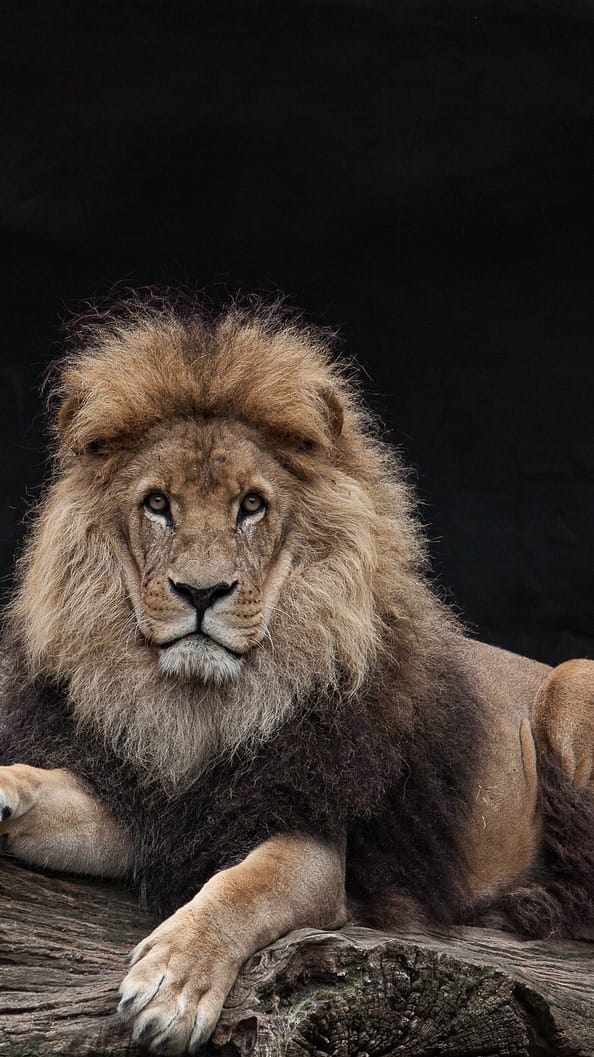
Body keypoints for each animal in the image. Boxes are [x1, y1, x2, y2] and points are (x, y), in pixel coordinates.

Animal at [1, 299, 594, 1054]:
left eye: (251, 506)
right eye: (158, 504)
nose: (202, 592)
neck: (200, 709)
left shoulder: (313, 841)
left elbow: (245, 887)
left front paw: (173, 984)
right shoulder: (162, 808)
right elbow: (55, 790)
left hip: (575, 680)